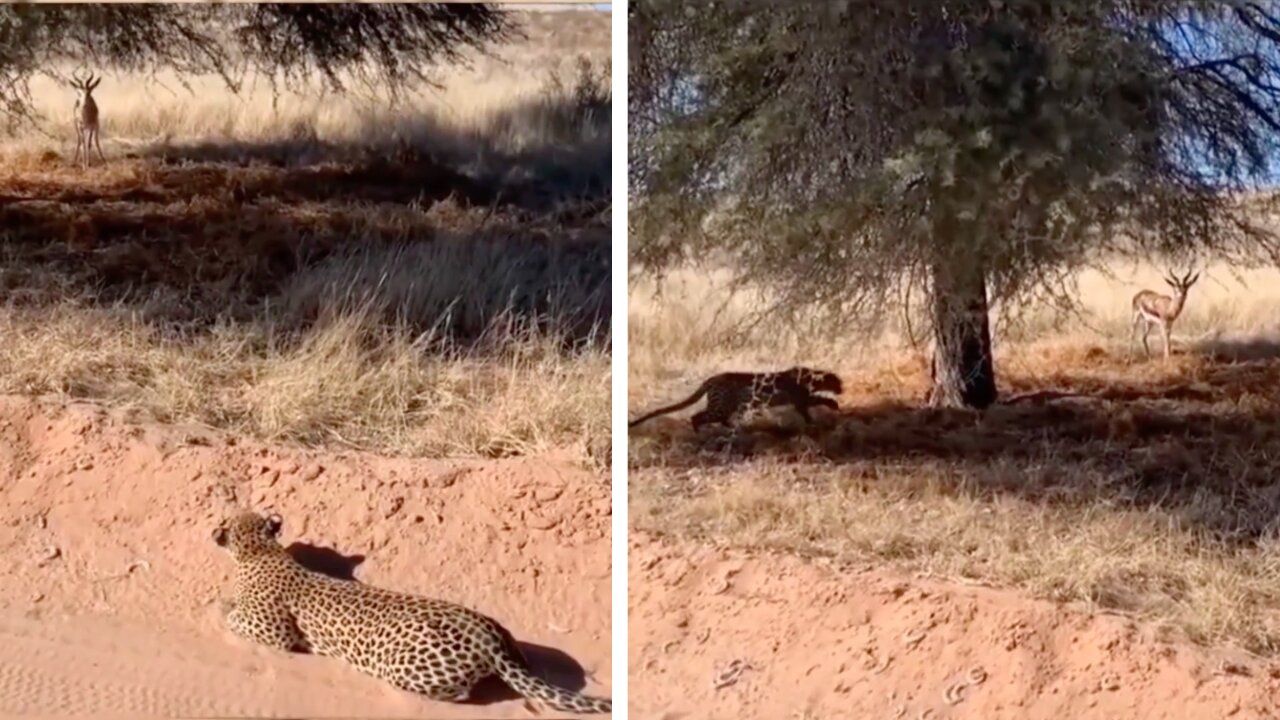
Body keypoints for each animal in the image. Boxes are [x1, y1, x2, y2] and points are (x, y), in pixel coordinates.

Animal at [212, 509, 611, 712]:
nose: (214, 528)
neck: (260, 550)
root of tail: (488, 636)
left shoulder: (275, 631)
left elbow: (233, 616)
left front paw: (221, 604)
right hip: (504, 636)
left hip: (403, 665)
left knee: (459, 694)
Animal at [627, 366, 839, 427]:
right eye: (838, 383)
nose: (843, 389)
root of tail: (712, 378)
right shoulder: (801, 398)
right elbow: (818, 400)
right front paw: (833, 405)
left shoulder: (800, 401)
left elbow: (808, 408)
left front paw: (810, 420)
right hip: (721, 404)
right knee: (698, 417)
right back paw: (699, 430)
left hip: (727, 405)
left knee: (715, 418)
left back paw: (731, 426)